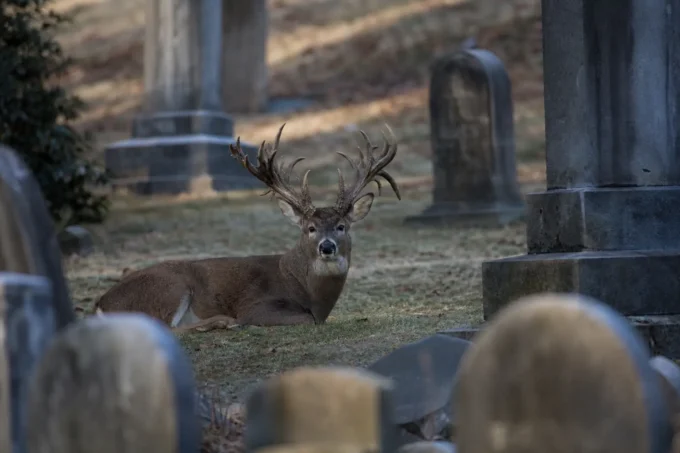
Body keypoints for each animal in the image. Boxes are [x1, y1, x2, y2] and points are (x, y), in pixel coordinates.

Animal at [94, 124, 401, 332]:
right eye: (310, 228)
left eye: (341, 226)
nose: (327, 247)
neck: (309, 291)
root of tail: (101, 303)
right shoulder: (256, 305)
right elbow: (306, 319)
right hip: (170, 287)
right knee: (165, 326)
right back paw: (222, 321)